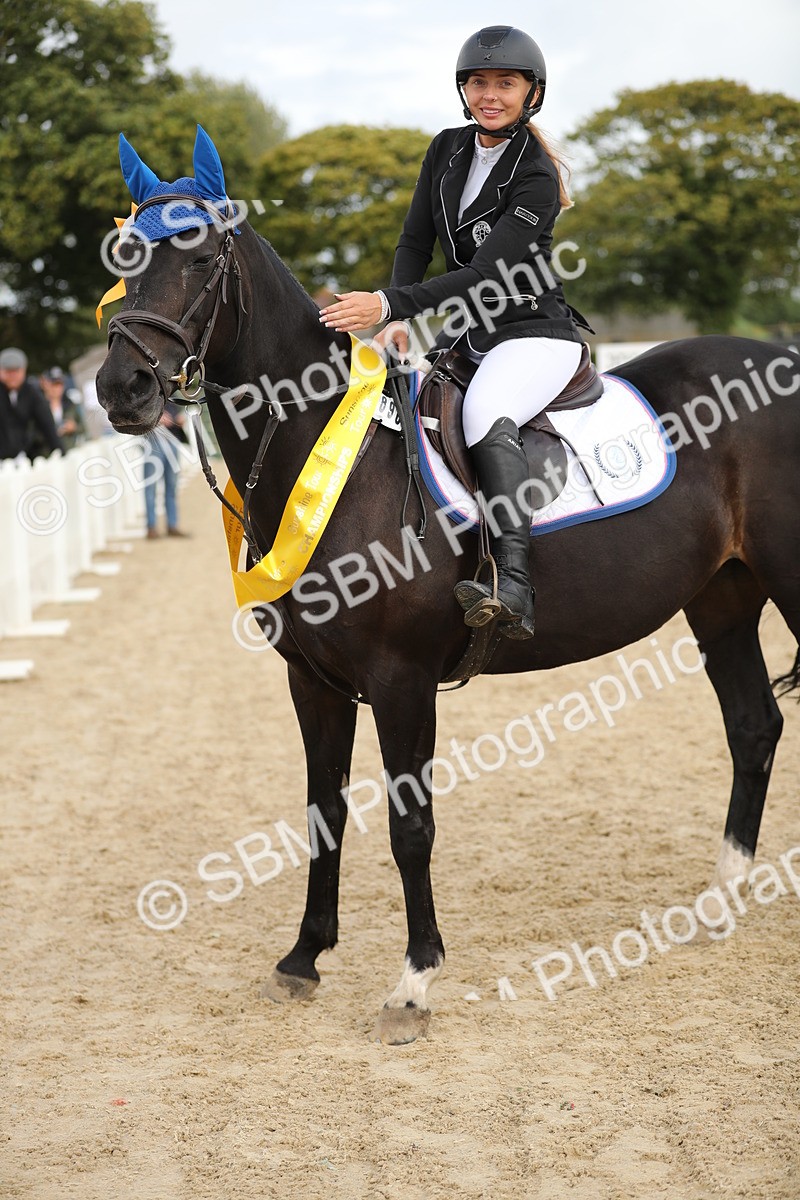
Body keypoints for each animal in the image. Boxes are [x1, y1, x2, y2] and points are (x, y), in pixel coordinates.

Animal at [97, 129, 800, 1044]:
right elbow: (324, 811)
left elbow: (410, 824)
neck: (332, 455)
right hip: (723, 598)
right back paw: (719, 902)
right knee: (753, 727)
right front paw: (303, 958)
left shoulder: (402, 680)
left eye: (204, 256)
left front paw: (413, 983)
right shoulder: (313, 682)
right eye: (125, 258)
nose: (121, 389)